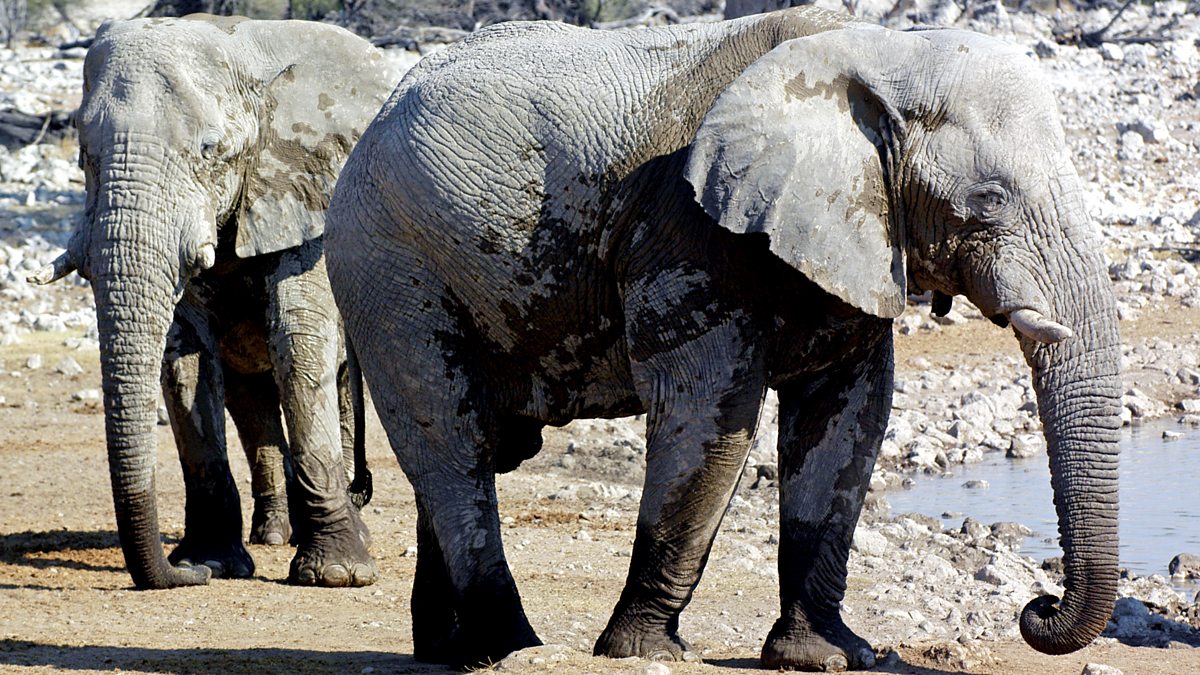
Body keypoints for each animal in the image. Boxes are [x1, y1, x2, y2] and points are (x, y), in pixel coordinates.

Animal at [31, 15, 401, 590]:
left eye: (209, 150)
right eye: (84, 155)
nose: (188, 575)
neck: (241, 46)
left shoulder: (307, 194)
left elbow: (299, 343)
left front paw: (337, 574)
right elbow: (184, 360)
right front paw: (210, 562)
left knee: (333, 380)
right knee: (250, 402)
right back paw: (272, 533)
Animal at [324, 7, 1122, 670]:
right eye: (987, 203)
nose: (1038, 606)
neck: (876, 50)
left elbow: (849, 419)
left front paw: (824, 656)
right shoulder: (688, 230)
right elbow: (712, 412)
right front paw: (645, 651)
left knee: (478, 445)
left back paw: (452, 652)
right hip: (386, 260)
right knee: (448, 436)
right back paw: (513, 648)